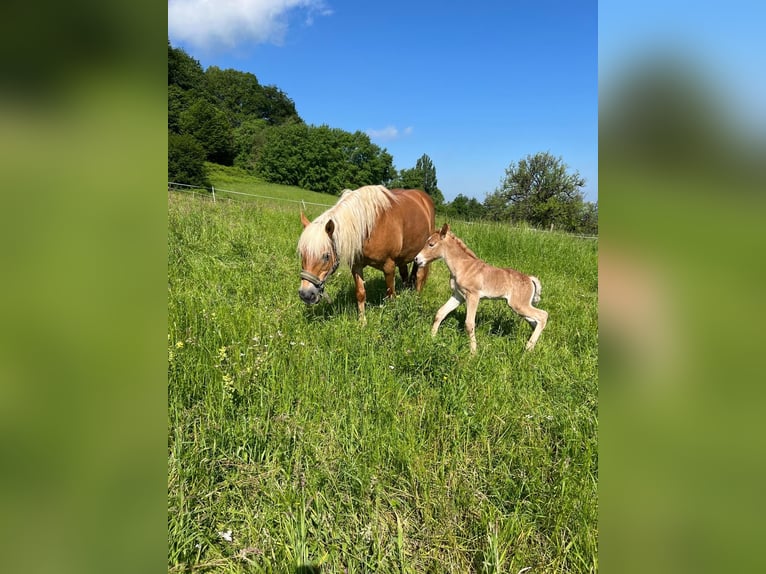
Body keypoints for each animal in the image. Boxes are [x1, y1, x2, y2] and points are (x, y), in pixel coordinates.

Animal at [296, 187, 436, 322]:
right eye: (302, 254)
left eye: (326, 256)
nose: (306, 295)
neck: (370, 226)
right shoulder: (356, 266)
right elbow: (360, 293)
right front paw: (362, 321)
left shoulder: (389, 266)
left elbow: (391, 293)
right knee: (405, 275)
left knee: (419, 279)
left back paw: (416, 301)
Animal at [416, 225, 548, 356]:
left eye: (431, 244)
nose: (417, 259)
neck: (463, 267)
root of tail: (529, 278)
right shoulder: (458, 295)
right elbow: (440, 313)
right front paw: (431, 338)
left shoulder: (473, 296)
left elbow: (469, 324)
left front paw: (473, 352)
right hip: (520, 307)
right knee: (535, 322)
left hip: (518, 305)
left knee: (543, 315)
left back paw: (528, 348)